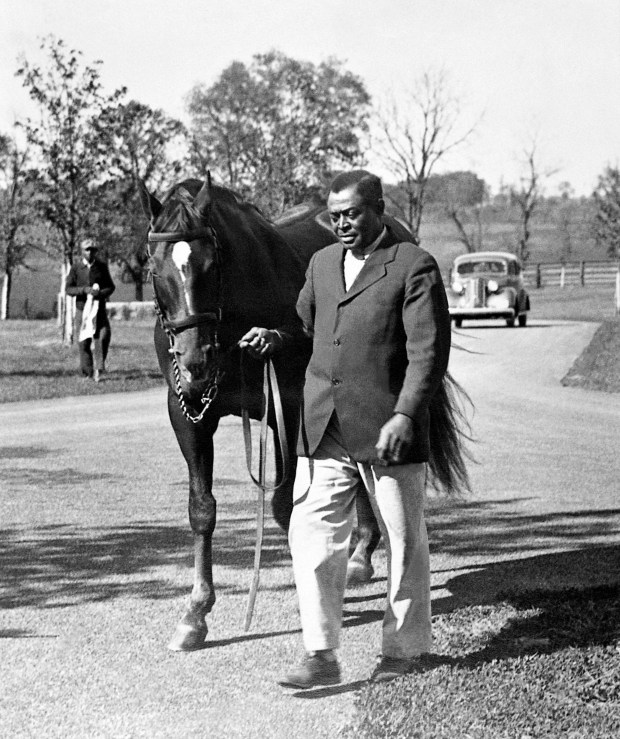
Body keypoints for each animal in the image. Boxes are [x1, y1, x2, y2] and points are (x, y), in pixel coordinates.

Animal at [140, 176, 470, 652]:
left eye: (212, 264)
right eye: (153, 269)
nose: (195, 363)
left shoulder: (290, 411)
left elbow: (284, 506)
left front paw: (307, 593)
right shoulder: (188, 416)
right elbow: (202, 509)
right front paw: (195, 614)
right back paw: (359, 556)